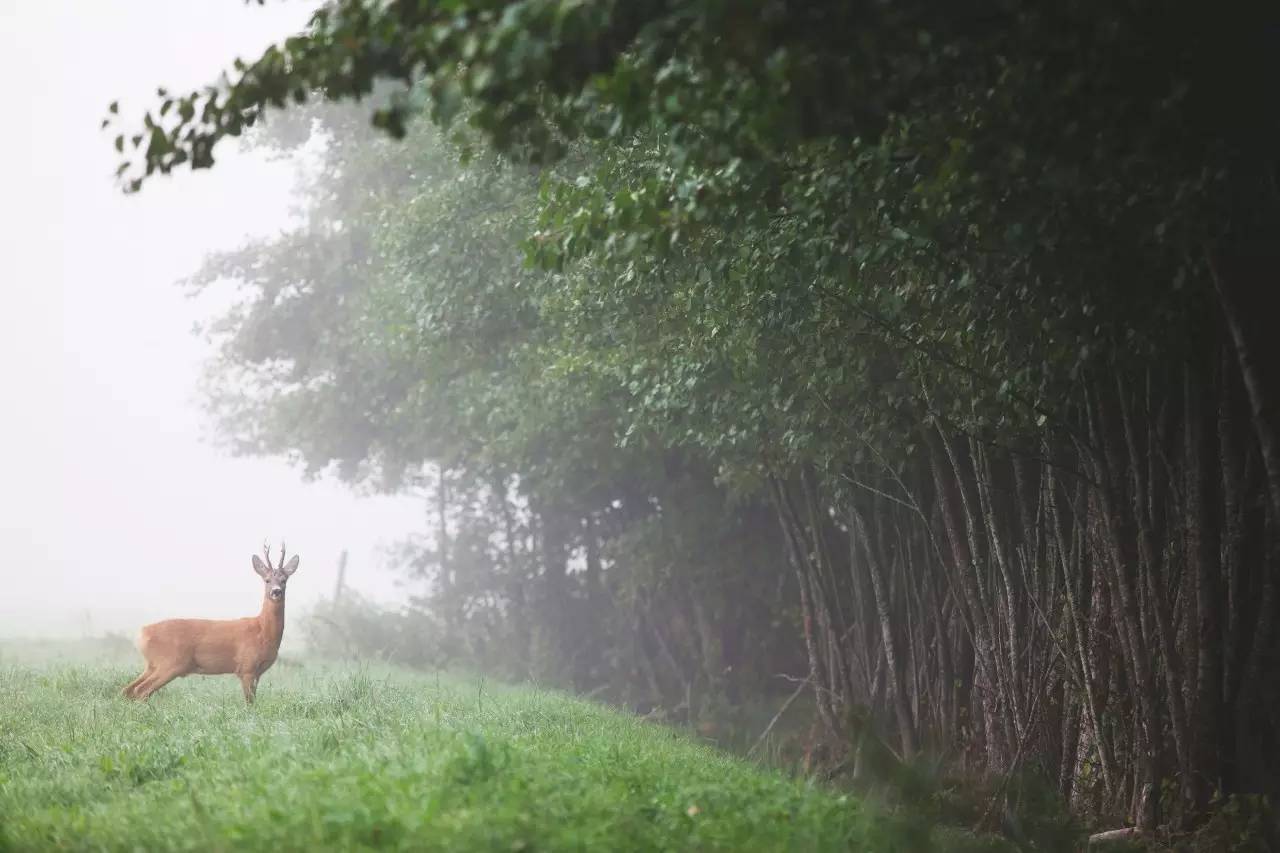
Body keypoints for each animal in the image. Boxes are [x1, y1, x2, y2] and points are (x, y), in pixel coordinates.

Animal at [121, 540, 302, 701]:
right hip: (170, 663)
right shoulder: (247, 667)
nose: (276, 591)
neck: (262, 630)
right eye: (267, 580)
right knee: (141, 691)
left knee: (128, 690)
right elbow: (250, 702)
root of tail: (142, 633)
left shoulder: (257, 672)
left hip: (152, 665)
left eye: (284, 580)